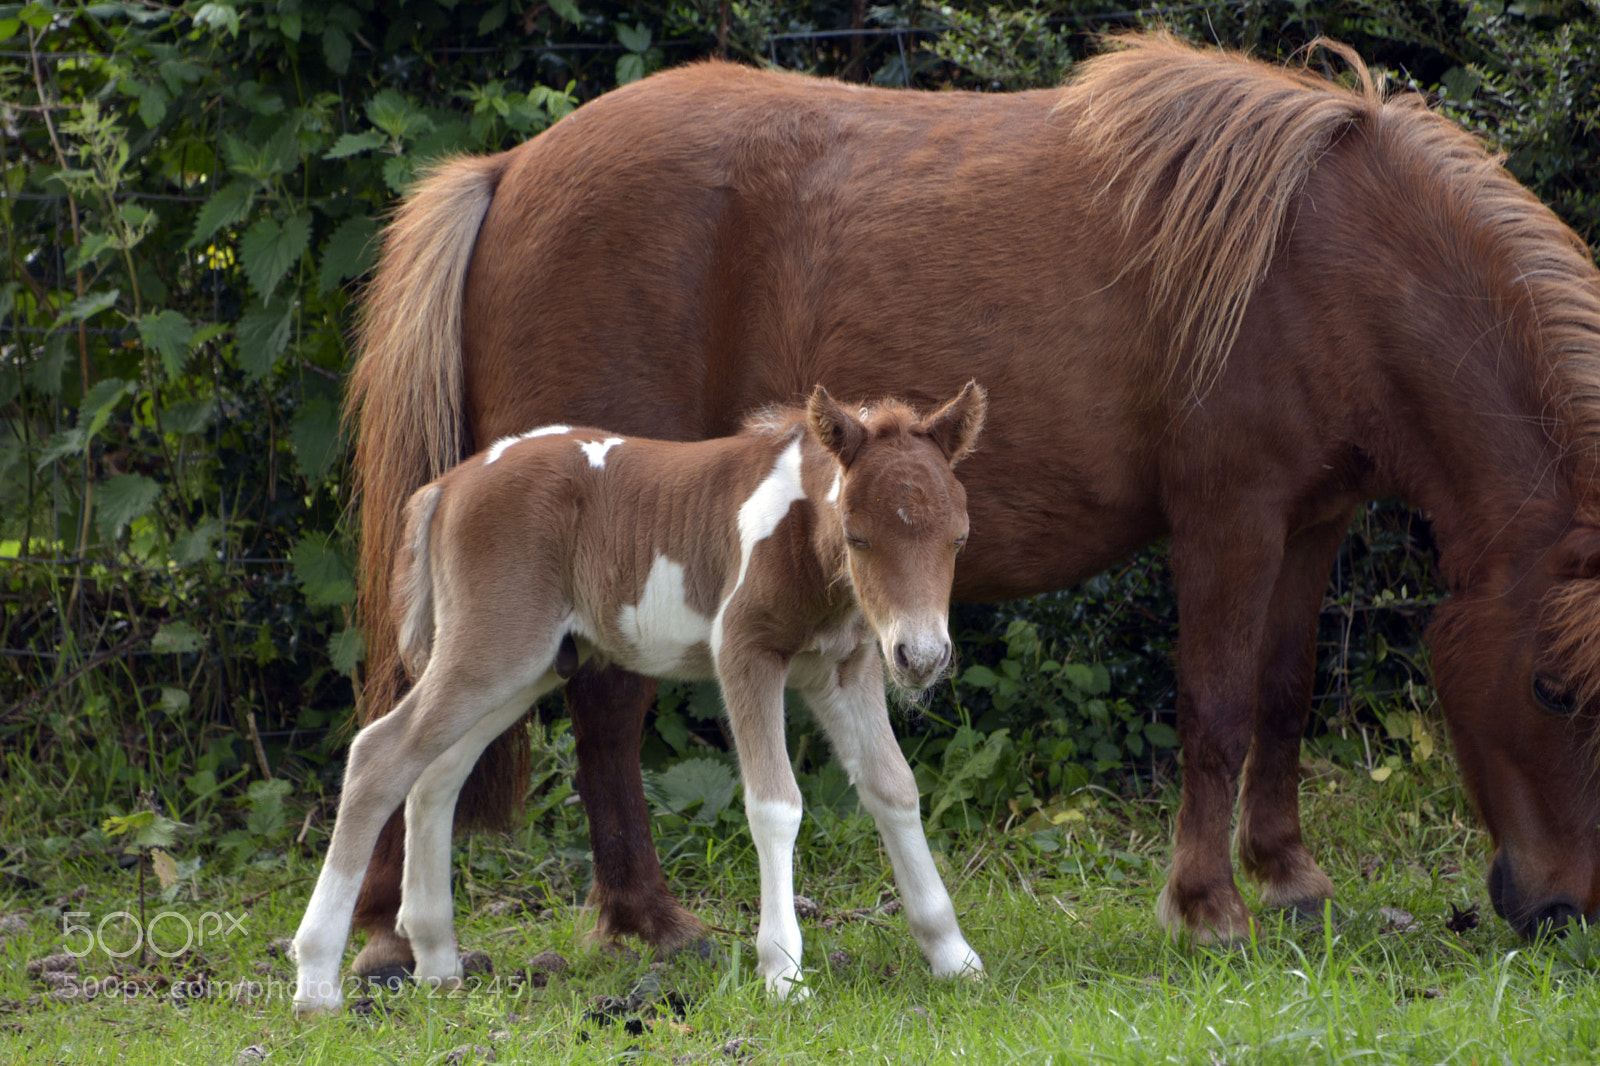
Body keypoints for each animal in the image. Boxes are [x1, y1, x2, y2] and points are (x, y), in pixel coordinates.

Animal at [291, 385, 989, 1013]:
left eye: (958, 538)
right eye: (858, 536)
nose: (922, 657)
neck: (803, 535)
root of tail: (450, 485)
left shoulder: (848, 666)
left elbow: (893, 786)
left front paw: (953, 956)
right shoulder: (745, 654)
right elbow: (775, 804)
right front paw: (784, 974)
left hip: (528, 666)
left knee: (435, 772)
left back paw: (438, 962)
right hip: (492, 647)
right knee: (380, 754)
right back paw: (317, 981)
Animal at [340, 32, 1600, 978]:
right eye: (1551, 687)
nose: (1565, 913)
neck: (1326, 257)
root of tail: (511, 169)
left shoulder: (1310, 519)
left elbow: (1283, 696)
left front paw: (1290, 881)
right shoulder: (1228, 519)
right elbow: (1217, 707)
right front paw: (1208, 906)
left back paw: (615, 923)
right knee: (522, 713)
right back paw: (506, 933)